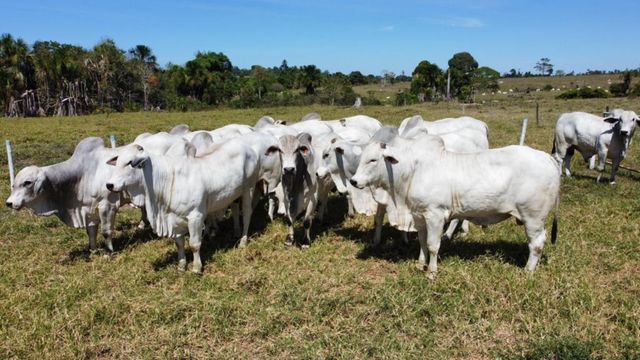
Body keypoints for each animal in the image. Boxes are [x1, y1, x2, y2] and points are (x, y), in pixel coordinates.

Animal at [350, 134, 560, 280]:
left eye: (373, 160)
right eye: (362, 158)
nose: (353, 181)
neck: (413, 169)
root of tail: (547, 158)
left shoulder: (435, 215)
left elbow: (433, 245)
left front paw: (431, 272)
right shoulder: (419, 215)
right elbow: (422, 241)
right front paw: (420, 264)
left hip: (533, 217)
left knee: (537, 243)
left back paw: (528, 271)